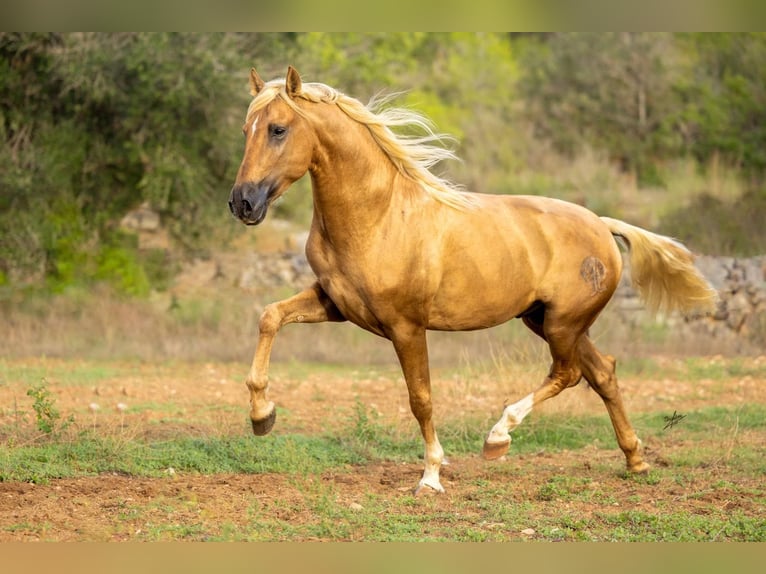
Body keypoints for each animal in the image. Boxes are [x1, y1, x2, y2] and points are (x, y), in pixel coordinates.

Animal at [228, 66, 720, 496]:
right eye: (246, 129)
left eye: (277, 129)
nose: (243, 203)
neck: (379, 215)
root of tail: (602, 223)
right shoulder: (336, 305)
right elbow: (270, 316)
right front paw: (262, 416)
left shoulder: (406, 327)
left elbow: (421, 398)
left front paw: (431, 477)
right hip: (546, 321)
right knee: (603, 372)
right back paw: (635, 461)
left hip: (562, 324)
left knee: (569, 373)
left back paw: (497, 438)